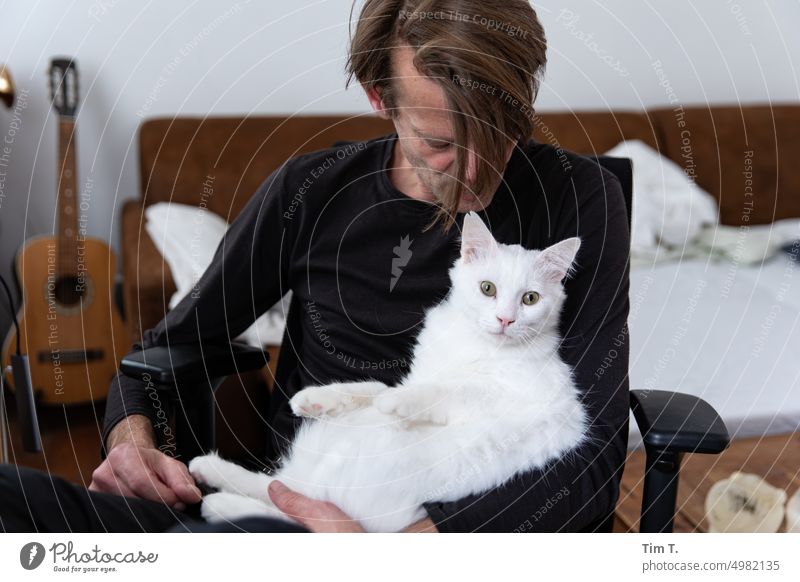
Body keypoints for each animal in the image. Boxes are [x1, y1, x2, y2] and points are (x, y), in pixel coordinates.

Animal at [188, 213, 588, 532]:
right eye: (487, 289)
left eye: (530, 299)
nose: (506, 320)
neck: (474, 344)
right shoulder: (417, 373)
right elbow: (375, 386)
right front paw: (317, 398)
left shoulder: (535, 406)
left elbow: (451, 390)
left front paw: (398, 404)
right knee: (276, 487)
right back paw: (209, 471)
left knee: (286, 507)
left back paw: (219, 504)